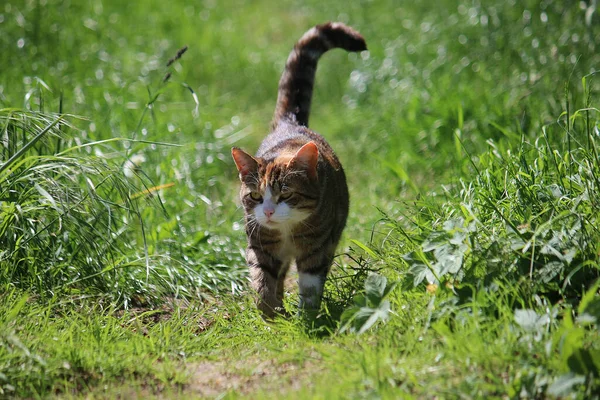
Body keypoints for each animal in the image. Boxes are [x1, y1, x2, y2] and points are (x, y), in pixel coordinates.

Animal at [232, 22, 368, 318]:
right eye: (255, 196)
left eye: (286, 195)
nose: (268, 212)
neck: (286, 231)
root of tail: (291, 125)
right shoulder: (259, 241)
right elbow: (262, 278)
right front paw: (271, 313)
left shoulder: (318, 245)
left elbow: (311, 281)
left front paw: (306, 316)